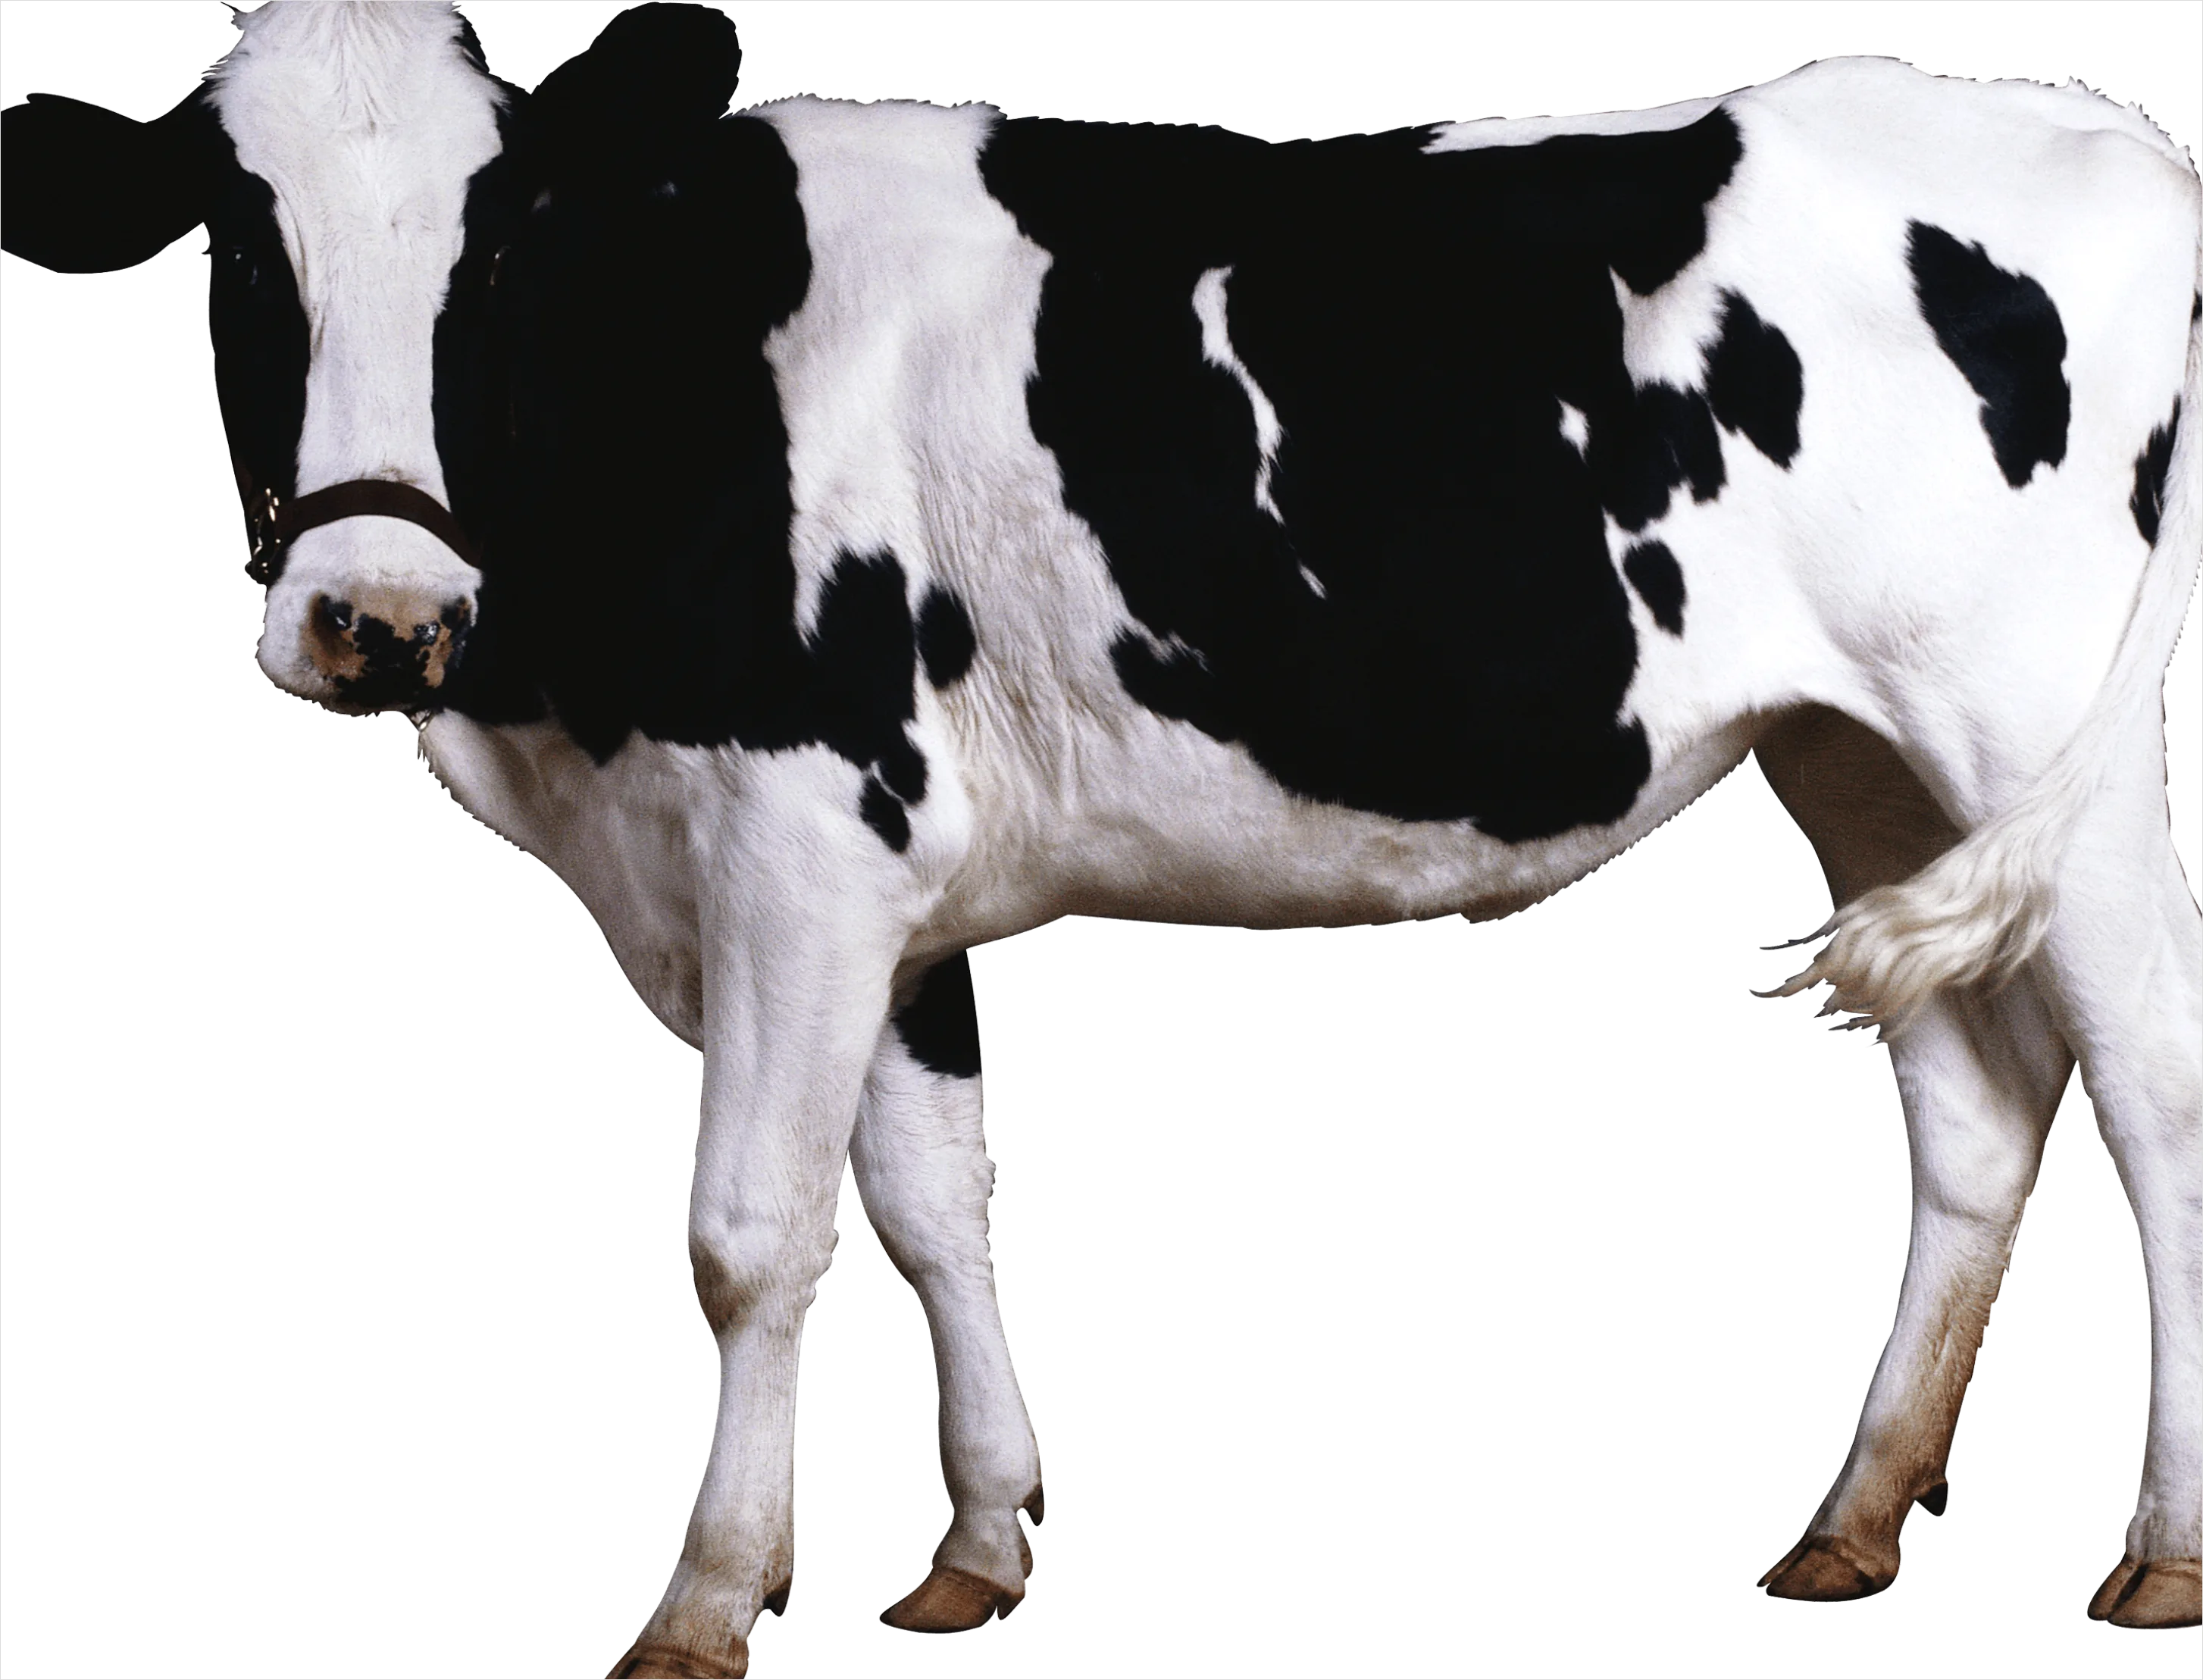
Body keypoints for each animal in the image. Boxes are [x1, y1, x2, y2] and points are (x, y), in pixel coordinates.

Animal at [6, 5, 2199, 1673]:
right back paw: (1853, 1519)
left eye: (506, 253)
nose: (377, 617)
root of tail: (2096, 128)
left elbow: (748, 1233)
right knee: (1978, 1090)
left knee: (2152, 1076)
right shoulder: (867, 889)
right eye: (237, 255)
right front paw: (968, 1551)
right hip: (1853, 750)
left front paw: (702, 1604)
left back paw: (2162, 1551)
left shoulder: (801, 839)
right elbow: (926, 1202)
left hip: (2031, 730)